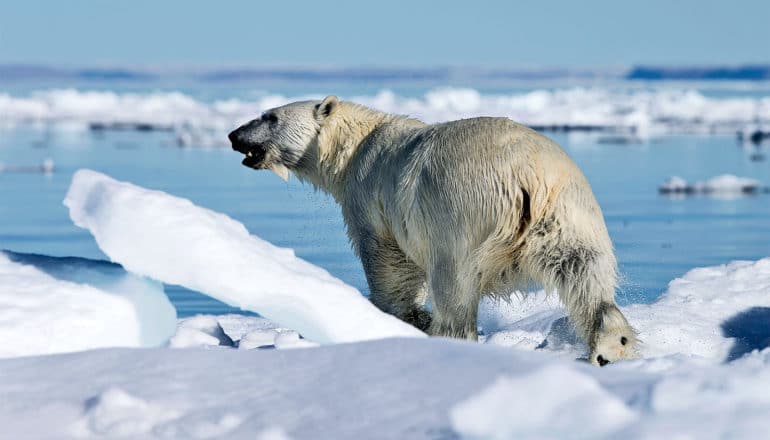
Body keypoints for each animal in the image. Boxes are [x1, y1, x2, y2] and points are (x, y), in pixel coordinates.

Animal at [226, 97, 636, 368]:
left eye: (269, 116)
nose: (233, 134)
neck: (357, 144)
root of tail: (527, 175)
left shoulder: (371, 198)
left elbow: (390, 265)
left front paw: (398, 319)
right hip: (568, 213)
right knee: (583, 273)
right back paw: (610, 346)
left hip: (462, 212)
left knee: (453, 284)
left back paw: (448, 337)